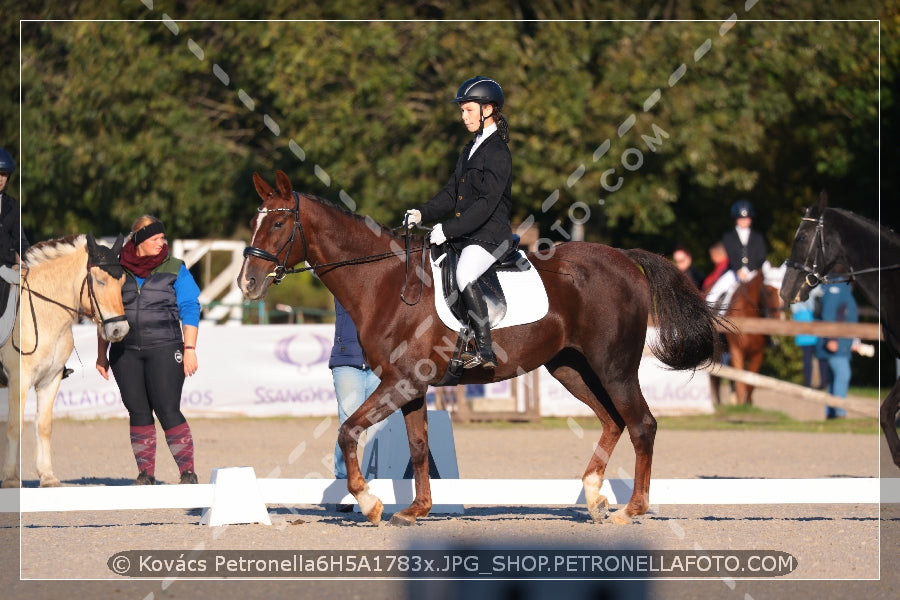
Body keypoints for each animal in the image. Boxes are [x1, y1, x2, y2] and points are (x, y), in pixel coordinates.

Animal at [0, 234, 128, 488]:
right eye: (99, 281)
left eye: (122, 282)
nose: (119, 330)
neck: (43, 313)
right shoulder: (19, 379)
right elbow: (14, 426)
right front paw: (10, 479)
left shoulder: (50, 380)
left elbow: (44, 426)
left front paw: (47, 476)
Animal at [237, 170, 724, 524]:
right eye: (256, 222)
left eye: (278, 222)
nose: (248, 283)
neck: (385, 284)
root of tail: (626, 259)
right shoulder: (410, 386)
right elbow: (417, 447)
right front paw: (416, 510)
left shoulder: (399, 381)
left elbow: (348, 430)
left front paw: (370, 503)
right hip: (571, 368)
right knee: (612, 421)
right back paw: (593, 497)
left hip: (614, 366)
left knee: (641, 424)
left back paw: (632, 509)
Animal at [720, 270, 784, 404]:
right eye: (769, 292)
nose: (779, 319)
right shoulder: (737, 350)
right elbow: (740, 380)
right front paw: (740, 402)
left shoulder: (757, 353)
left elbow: (751, 382)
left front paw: (748, 403)